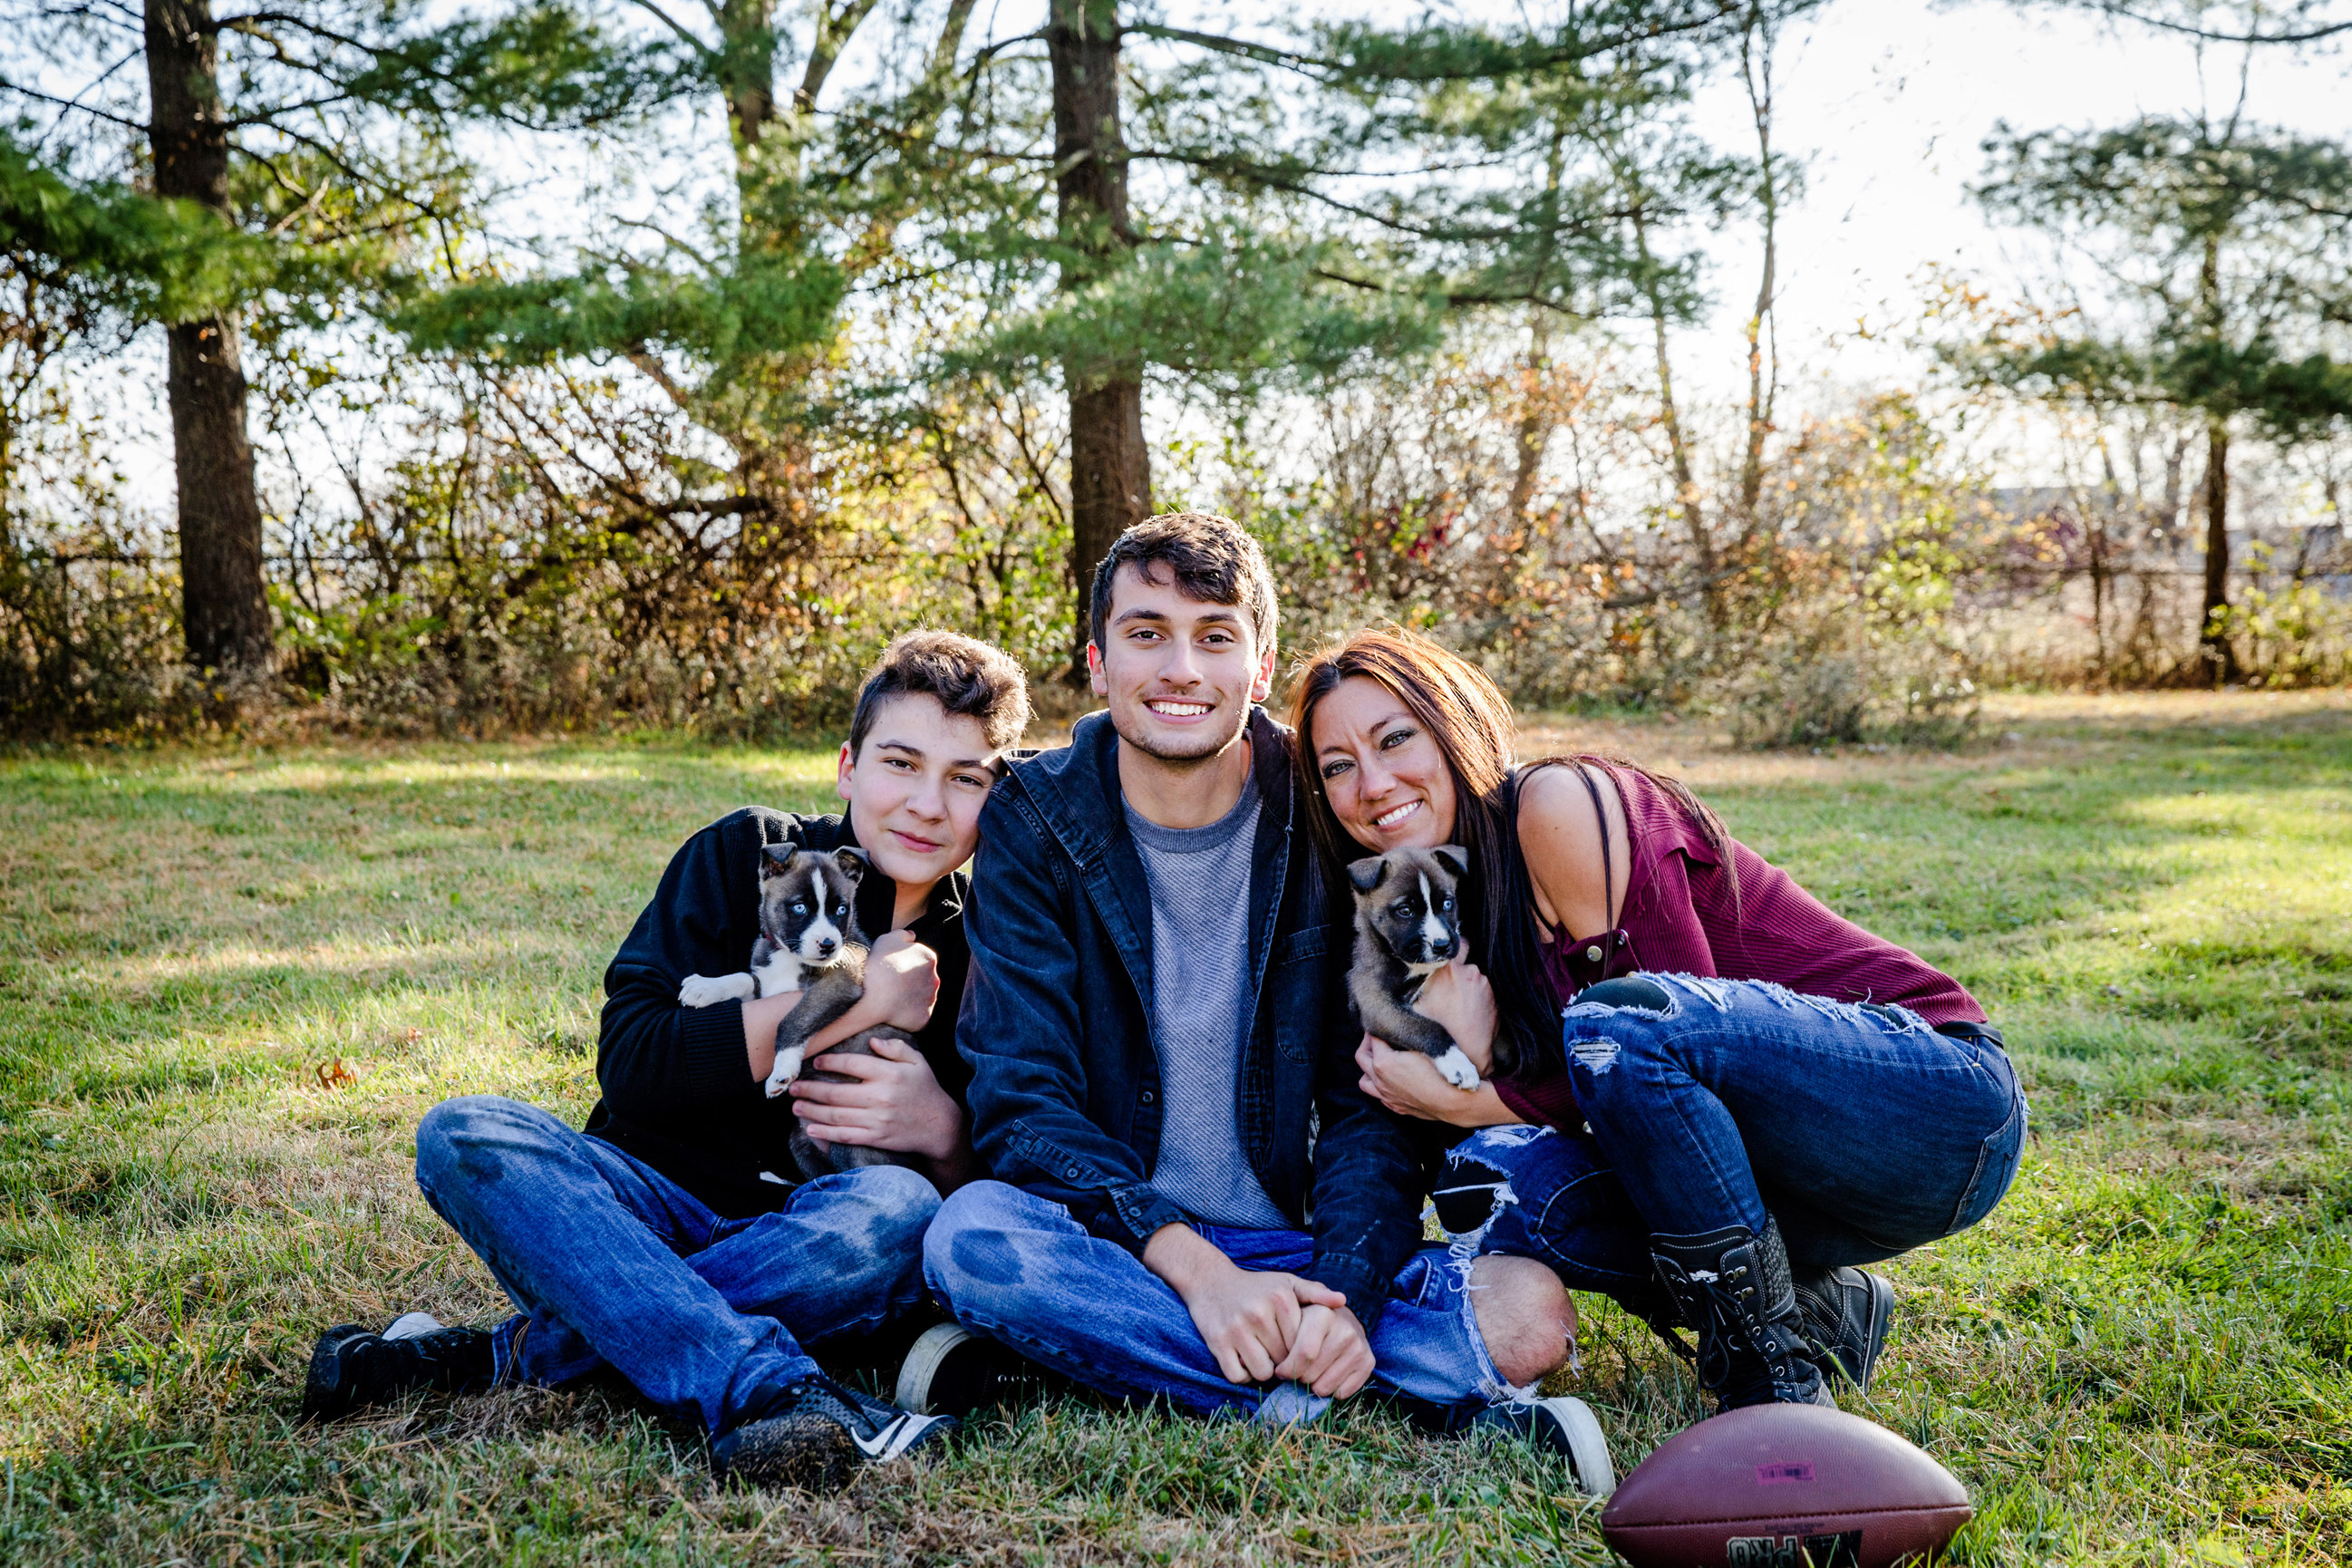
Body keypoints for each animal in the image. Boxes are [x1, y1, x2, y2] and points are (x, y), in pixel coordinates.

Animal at [1345, 846, 1486, 1090]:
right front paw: (1458, 1063)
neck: (1413, 966)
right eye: (1405, 910)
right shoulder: (1376, 1005)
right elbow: (1426, 1027)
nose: (1441, 945)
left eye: (1447, 904)